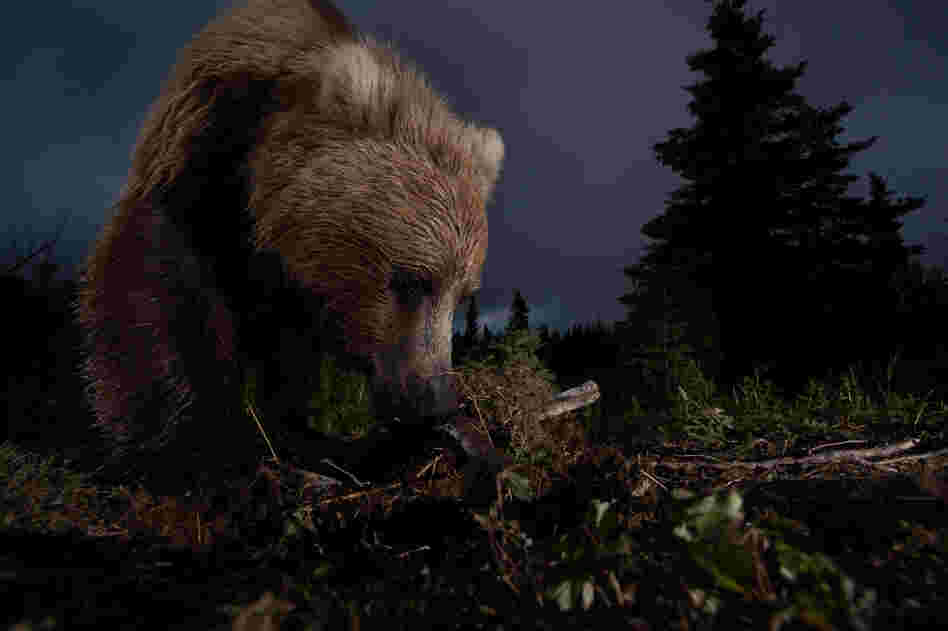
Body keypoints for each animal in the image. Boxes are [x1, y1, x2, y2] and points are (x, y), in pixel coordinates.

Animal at [77, 0, 504, 488]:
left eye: (464, 295)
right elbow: (160, 299)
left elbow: (290, 369)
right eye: (413, 280)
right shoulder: (198, 167)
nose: (436, 401)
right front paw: (189, 449)